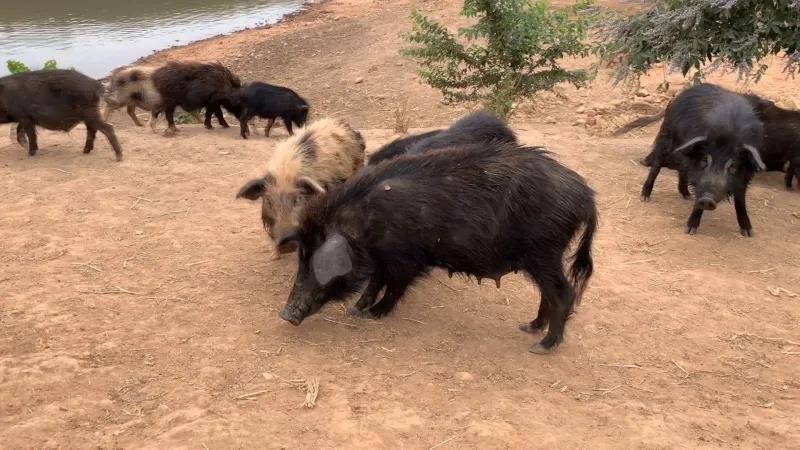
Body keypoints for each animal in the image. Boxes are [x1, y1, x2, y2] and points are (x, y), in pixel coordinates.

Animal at [278, 142, 596, 356]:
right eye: (301, 258)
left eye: (316, 261)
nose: (285, 314)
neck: (364, 222)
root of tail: (584, 194)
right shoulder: (383, 257)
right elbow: (375, 281)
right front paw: (356, 310)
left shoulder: (407, 258)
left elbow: (394, 286)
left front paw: (374, 313)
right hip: (542, 257)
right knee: (548, 293)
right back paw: (530, 327)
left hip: (544, 252)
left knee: (564, 294)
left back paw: (541, 346)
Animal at [636, 85, 764, 239]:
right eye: (705, 159)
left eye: (733, 166)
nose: (708, 199)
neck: (727, 134)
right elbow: (698, 192)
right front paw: (689, 230)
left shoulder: (746, 175)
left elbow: (740, 200)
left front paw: (748, 232)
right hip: (667, 136)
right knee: (657, 165)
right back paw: (645, 197)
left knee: (682, 168)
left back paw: (686, 195)